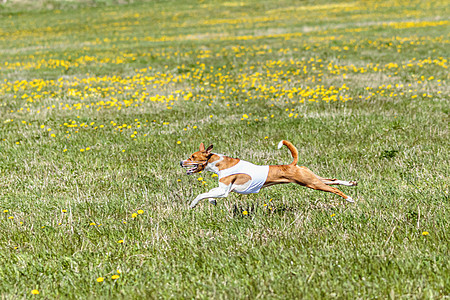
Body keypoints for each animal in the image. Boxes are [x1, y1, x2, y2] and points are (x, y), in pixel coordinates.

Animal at [180, 141, 358, 209]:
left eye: (192, 157)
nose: (181, 162)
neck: (220, 163)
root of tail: (292, 165)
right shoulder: (223, 189)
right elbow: (209, 193)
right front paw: (212, 201)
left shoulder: (224, 191)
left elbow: (202, 194)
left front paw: (193, 204)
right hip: (311, 179)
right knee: (332, 180)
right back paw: (351, 183)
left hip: (312, 183)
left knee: (334, 189)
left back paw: (349, 198)